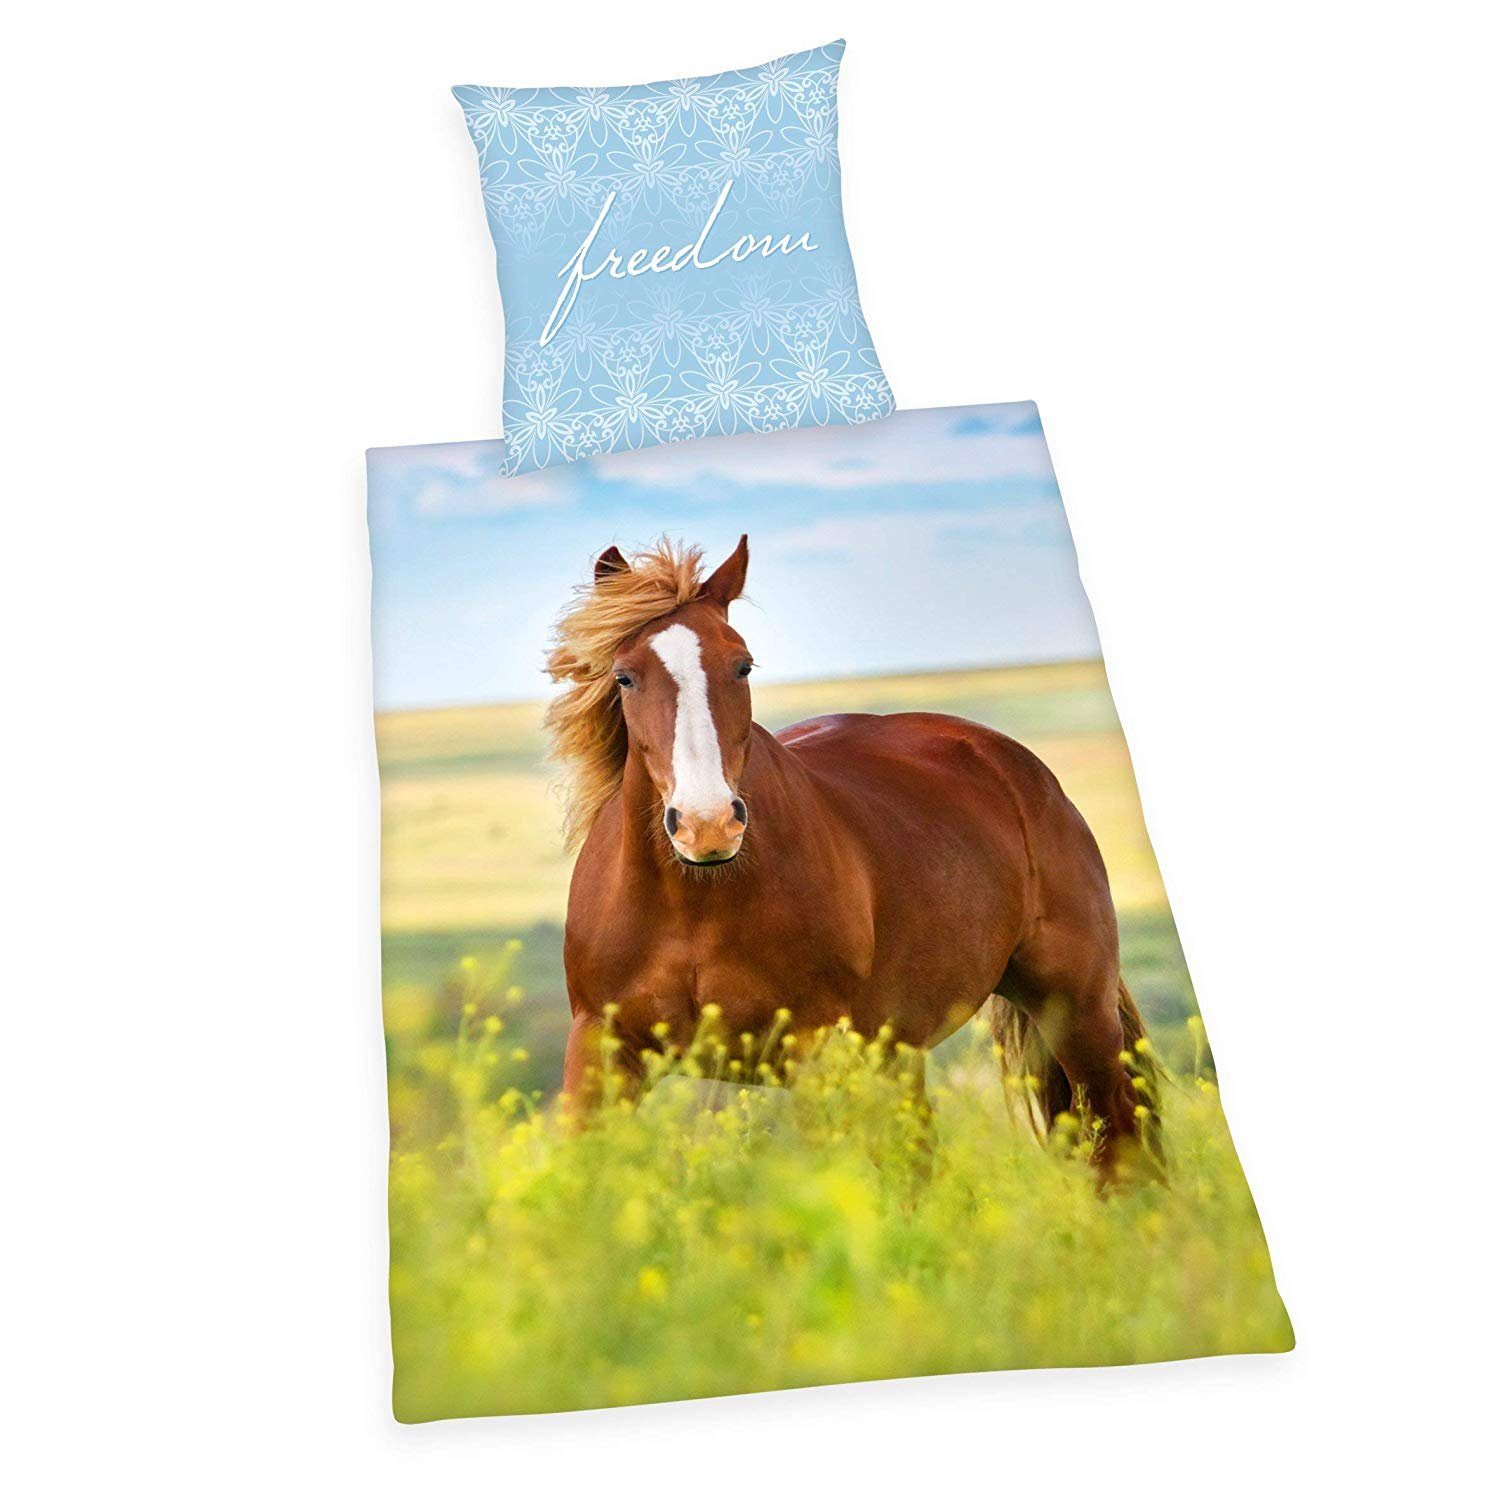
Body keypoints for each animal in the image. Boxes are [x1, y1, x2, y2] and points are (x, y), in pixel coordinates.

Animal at [545, 535, 1158, 1174]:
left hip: (1077, 1010)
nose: (706, 824)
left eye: (742, 665)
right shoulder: (601, 1050)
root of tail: (1011, 762)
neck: (695, 902)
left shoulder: (814, 1053)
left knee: (1118, 1137)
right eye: (624, 677)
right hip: (902, 1049)